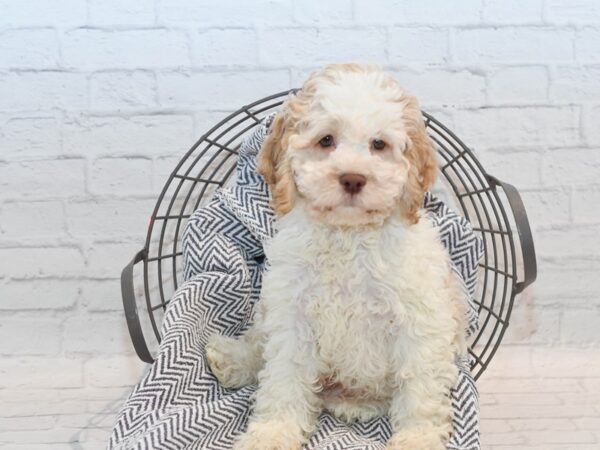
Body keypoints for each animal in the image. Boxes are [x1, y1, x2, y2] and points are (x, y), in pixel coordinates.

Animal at [206, 64, 468, 450]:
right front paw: (272, 433)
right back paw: (230, 359)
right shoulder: (293, 316)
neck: (348, 235)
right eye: (326, 140)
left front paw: (417, 438)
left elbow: (419, 390)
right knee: (259, 349)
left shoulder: (420, 322)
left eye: (379, 144)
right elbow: (283, 380)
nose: (353, 179)